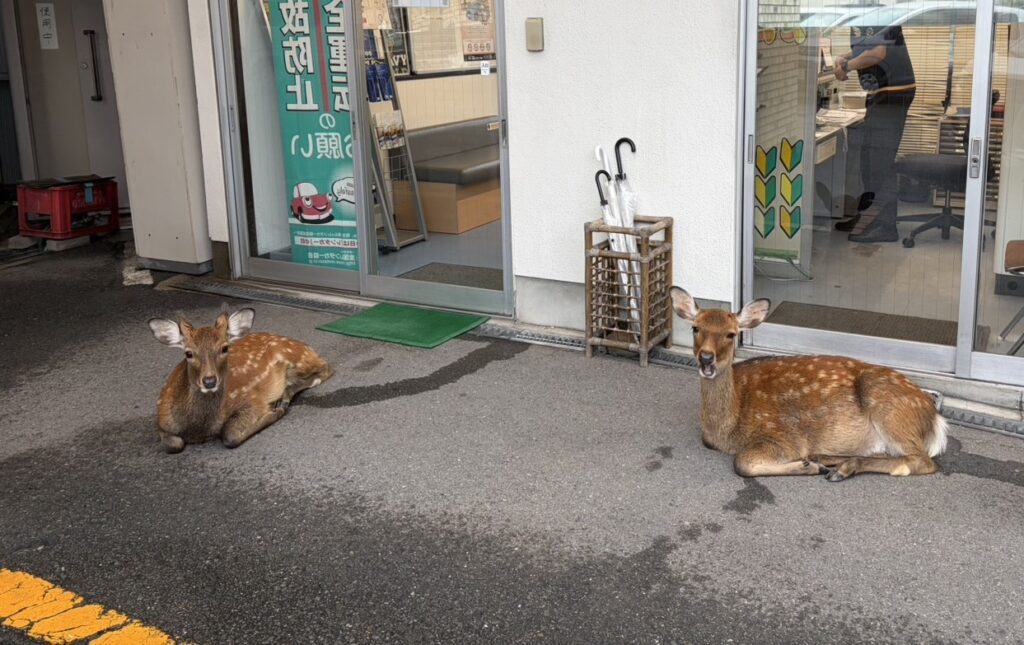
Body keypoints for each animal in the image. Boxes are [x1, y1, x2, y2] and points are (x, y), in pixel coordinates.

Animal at [147, 308, 333, 453]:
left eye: (224, 348)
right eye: (188, 353)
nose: (209, 381)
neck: (199, 429)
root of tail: (308, 347)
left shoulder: (251, 399)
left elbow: (230, 436)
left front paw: (275, 411)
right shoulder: (161, 422)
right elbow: (173, 445)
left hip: (297, 359)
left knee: (325, 369)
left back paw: (283, 398)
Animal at [669, 287, 948, 481]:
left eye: (731, 334)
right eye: (695, 328)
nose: (706, 358)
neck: (725, 429)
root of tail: (935, 418)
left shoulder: (783, 436)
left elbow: (742, 463)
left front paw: (807, 466)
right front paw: (811, 463)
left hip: (889, 408)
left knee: (922, 461)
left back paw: (832, 466)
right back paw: (830, 462)